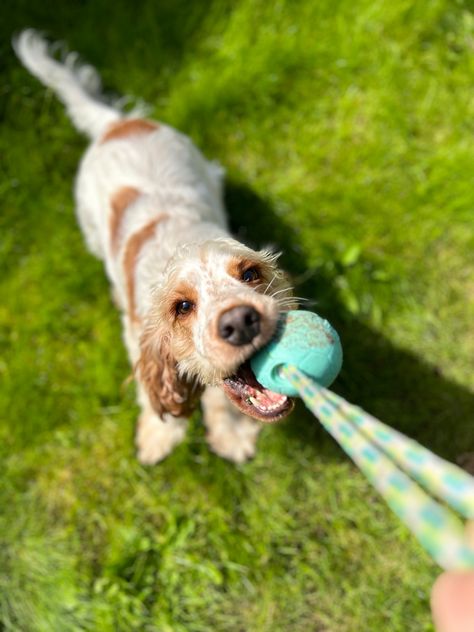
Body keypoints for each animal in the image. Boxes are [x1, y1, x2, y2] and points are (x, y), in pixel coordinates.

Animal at [15, 29, 296, 464]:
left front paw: (232, 436)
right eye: (182, 306)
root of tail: (118, 124)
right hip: (91, 226)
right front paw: (157, 438)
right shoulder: (137, 335)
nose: (239, 322)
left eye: (250, 273)